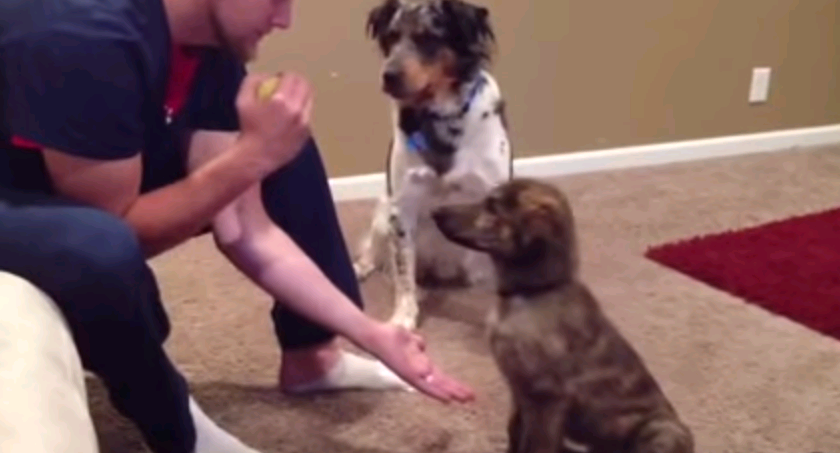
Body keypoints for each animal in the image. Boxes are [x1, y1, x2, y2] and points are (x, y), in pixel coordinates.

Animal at [352, 0, 512, 326]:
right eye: (391, 37)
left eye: (427, 38)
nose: (388, 75)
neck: (441, 117)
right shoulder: (402, 208)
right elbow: (403, 274)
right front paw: (403, 319)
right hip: (383, 211)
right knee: (378, 254)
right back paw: (361, 267)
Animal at [430, 178, 692, 450]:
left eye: (492, 207)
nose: (435, 212)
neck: (532, 292)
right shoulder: (519, 392)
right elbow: (514, 430)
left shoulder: (545, 396)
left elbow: (535, 445)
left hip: (663, 430)